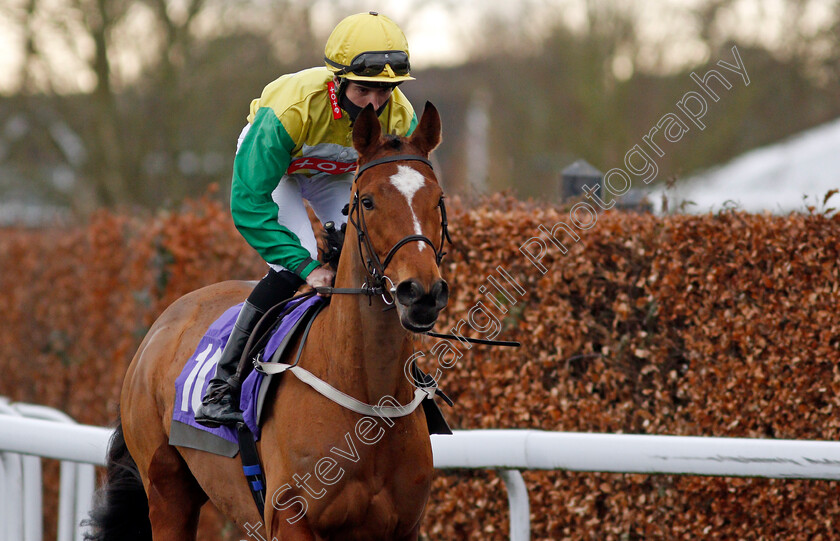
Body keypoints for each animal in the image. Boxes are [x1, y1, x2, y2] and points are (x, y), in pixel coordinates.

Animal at [84, 102, 450, 540]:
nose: (421, 292)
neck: (368, 398)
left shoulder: (405, 526)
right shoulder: (291, 519)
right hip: (166, 491)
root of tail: (159, 327)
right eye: (367, 201)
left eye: (438, 200)